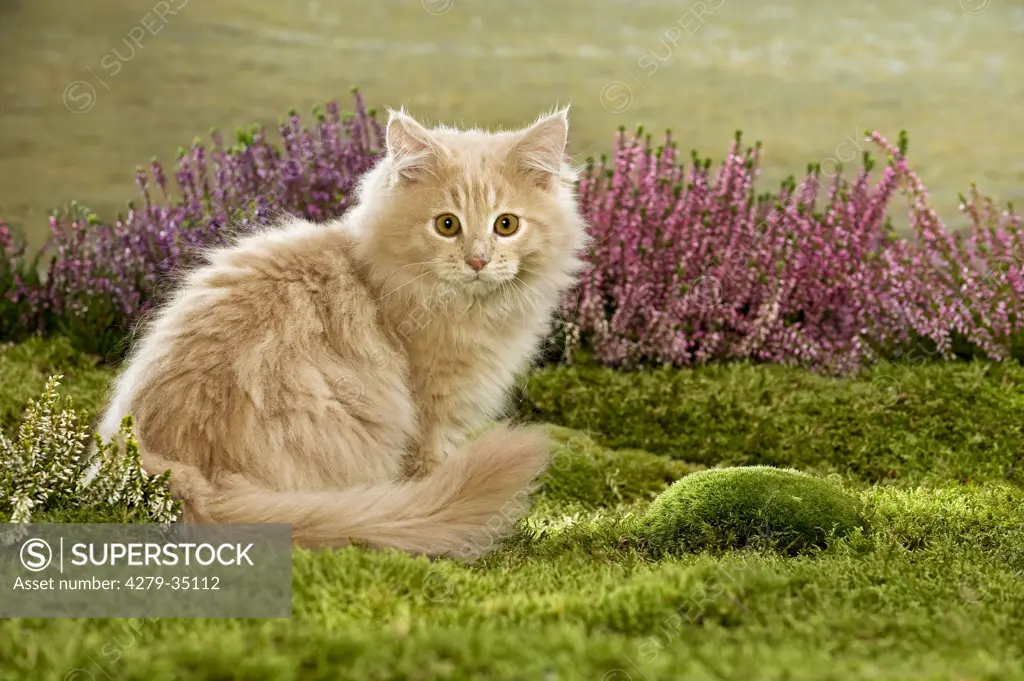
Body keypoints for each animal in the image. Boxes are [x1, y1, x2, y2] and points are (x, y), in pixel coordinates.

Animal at [97, 106, 593, 561]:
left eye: (506, 225)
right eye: (447, 225)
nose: (478, 260)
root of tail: (185, 476)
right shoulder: (433, 415)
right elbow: (430, 473)